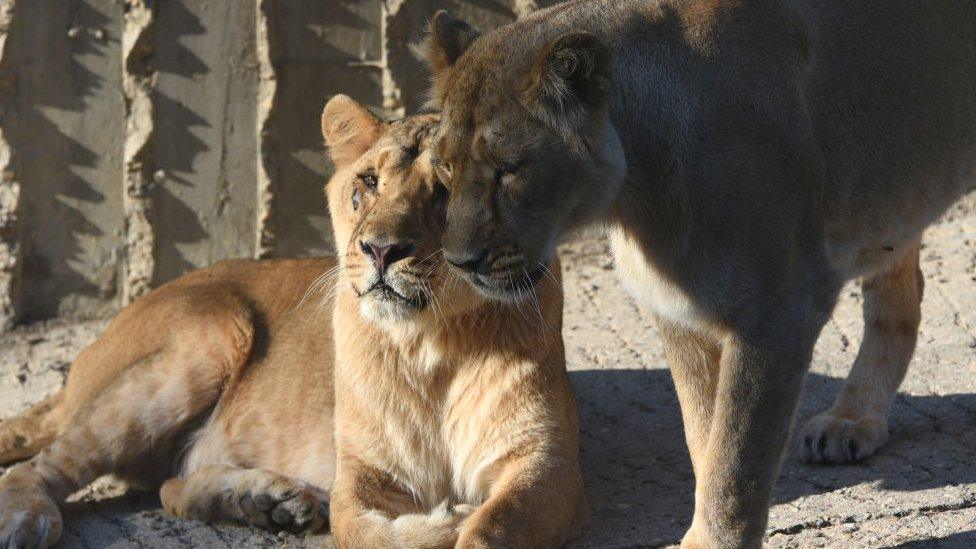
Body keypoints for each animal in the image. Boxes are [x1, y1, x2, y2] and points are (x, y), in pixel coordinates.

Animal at [0, 96, 588, 544]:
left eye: (447, 190)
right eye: (368, 182)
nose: (381, 249)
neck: (433, 343)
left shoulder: (547, 462)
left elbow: (495, 527)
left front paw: (464, 521)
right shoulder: (359, 469)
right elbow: (365, 531)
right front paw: (446, 521)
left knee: (169, 487)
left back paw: (267, 504)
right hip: (210, 334)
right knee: (40, 465)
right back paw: (28, 521)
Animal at [420, 2, 976, 544]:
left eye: (508, 168)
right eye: (445, 167)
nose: (459, 260)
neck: (636, 195)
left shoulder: (781, 308)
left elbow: (736, 460)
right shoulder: (678, 314)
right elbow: (703, 439)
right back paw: (853, 419)